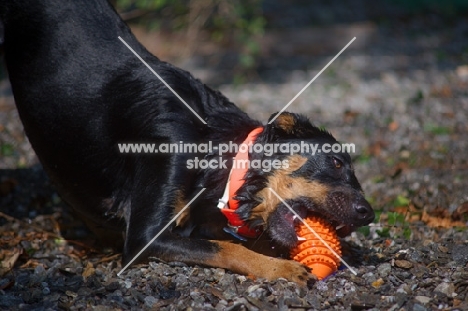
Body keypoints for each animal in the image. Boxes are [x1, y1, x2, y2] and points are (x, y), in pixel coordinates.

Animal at [0, 0, 372, 288]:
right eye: (336, 163)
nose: (368, 214)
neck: (216, 151)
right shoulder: (145, 235)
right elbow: (227, 248)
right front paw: (282, 268)